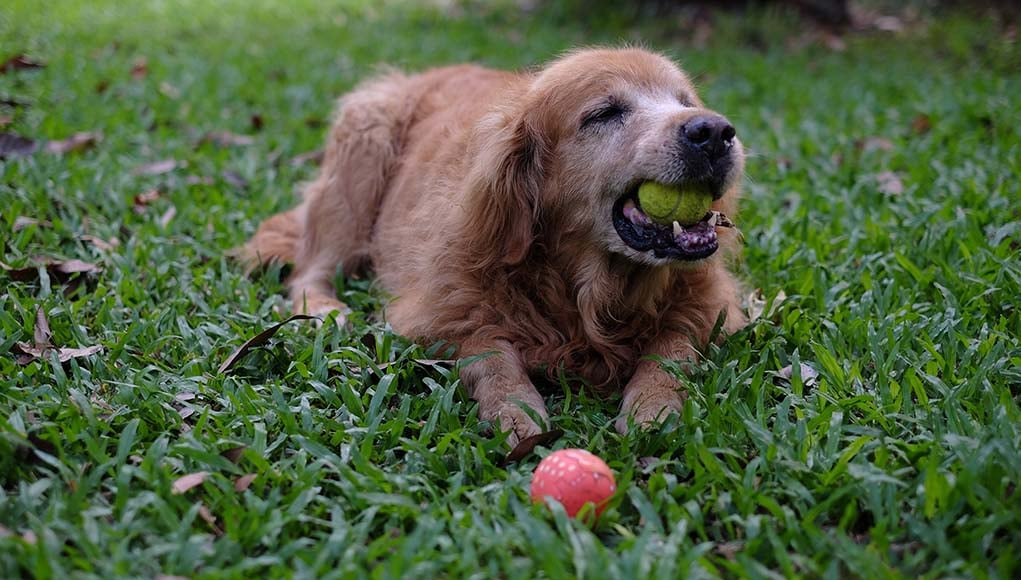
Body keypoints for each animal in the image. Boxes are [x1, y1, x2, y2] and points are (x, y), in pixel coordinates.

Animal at [241, 47, 747, 447]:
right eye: (604, 113)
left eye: (684, 102)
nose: (715, 132)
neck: (587, 289)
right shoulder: (438, 308)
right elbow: (489, 351)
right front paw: (515, 408)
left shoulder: (711, 303)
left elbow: (672, 346)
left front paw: (652, 404)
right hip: (362, 150)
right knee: (311, 269)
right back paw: (326, 309)